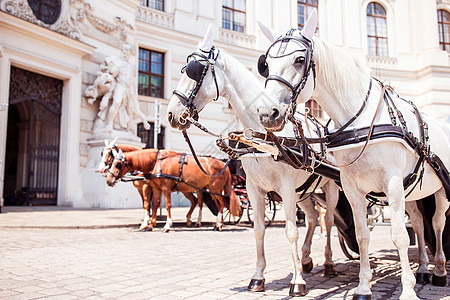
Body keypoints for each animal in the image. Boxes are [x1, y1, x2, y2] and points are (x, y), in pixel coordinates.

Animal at [106, 150, 241, 232]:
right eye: (112, 162)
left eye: (117, 164)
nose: (108, 180)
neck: (157, 162)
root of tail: (224, 164)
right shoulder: (156, 189)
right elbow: (154, 205)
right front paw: (150, 225)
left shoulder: (164, 189)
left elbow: (167, 205)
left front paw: (167, 225)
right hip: (209, 190)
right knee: (215, 204)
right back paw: (219, 223)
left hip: (214, 189)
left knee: (221, 203)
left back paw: (217, 224)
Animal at [166, 25, 348, 296]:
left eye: (195, 71)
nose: (172, 114)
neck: (264, 137)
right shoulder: (255, 189)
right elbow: (259, 229)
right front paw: (258, 277)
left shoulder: (286, 189)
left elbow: (291, 231)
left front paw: (296, 282)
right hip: (305, 192)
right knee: (313, 218)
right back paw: (305, 260)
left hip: (329, 187)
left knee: (327, 221)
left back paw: (327, 263)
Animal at [256, 9, 450, 300]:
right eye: (265, 64)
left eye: (300, 59)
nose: (268, 113)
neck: (360, 121)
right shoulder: (352, 187)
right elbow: (362, 234)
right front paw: (363, 287)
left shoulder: (393, 184)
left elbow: (399, 236)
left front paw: (407, 290)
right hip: (415, 191)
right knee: (418, 222)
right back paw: (425, 268)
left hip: (439, 190)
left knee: (437, 223)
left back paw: (438, 269)